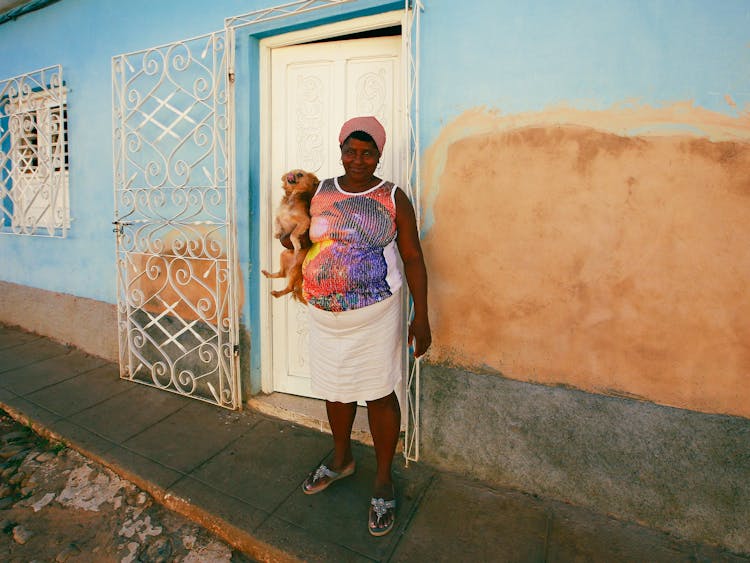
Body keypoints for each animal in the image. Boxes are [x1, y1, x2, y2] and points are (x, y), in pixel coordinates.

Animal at [262, 170, 320, 304]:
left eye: (300, 174)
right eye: (291, 173)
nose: (291, 175)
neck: (291, 198)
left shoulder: (304, 221)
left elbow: (293, 233)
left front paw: (296, 244)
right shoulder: (278, 216)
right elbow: (276, 223)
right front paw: (277, 233)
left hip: (294, 270)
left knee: (290, 288)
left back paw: (277, 293)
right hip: (283, 255)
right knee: (282, 274)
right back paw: (268, 275)